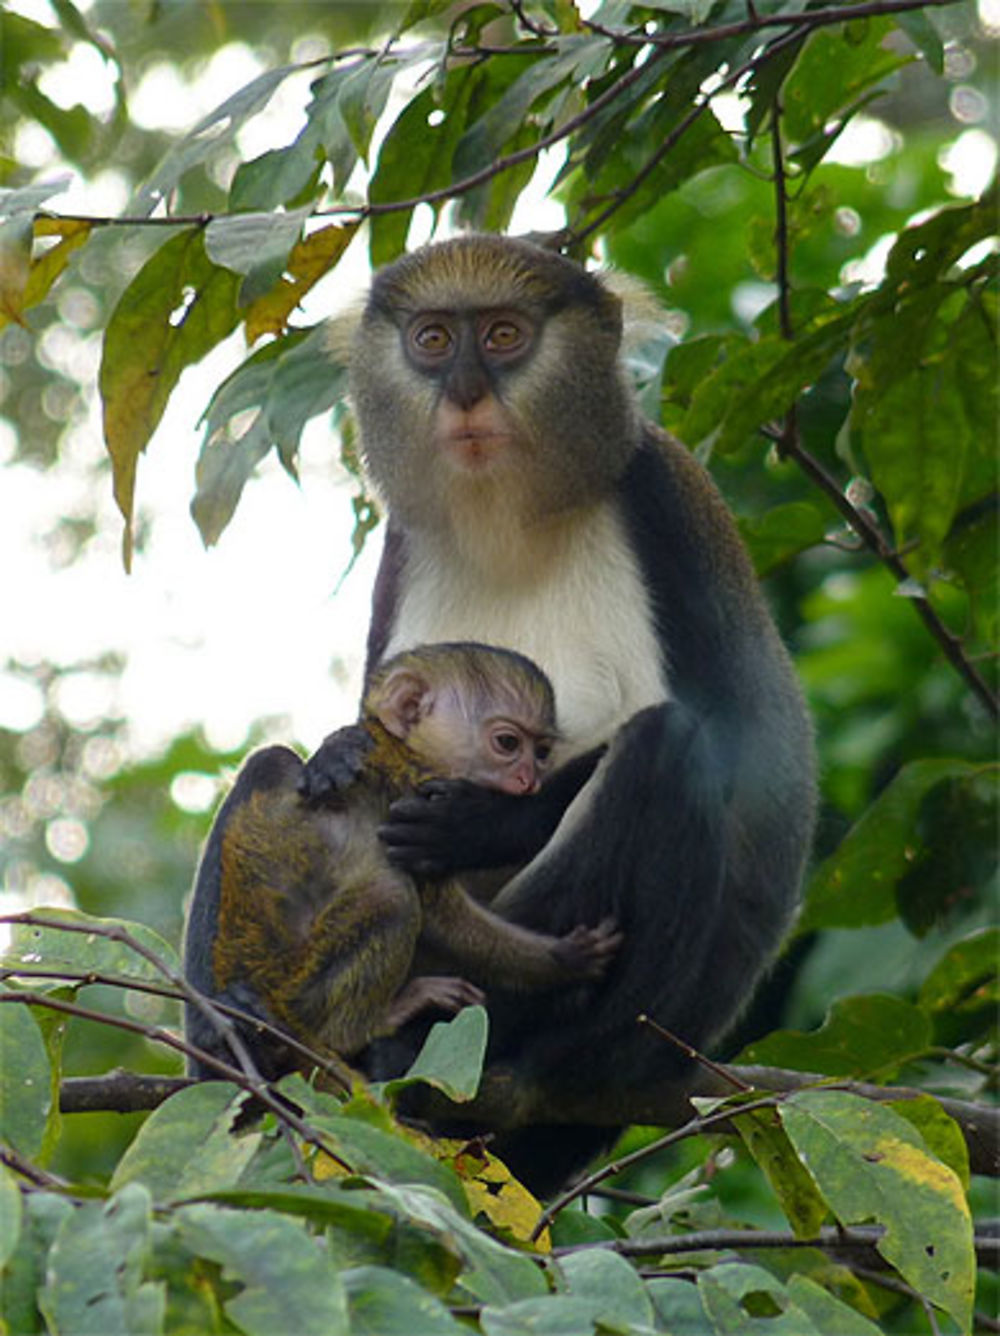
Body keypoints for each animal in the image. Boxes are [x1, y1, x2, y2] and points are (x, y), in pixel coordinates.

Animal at [180, 641, 616, 1079]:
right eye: (508, 744)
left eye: (540, 753)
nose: (529, 780)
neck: (404, 750)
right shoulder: (412, 793)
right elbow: (446, 922)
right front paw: (563, 960)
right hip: (294, 992)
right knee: (389, 896)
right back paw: (358, 1028)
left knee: (269, 762)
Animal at [308, 232, 817, 1191]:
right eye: (434, 340)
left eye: (505, 335)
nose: (467, 390)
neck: (508, 521)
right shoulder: (404, 545)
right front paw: (337, 753)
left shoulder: (661, 498)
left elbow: (738, 741)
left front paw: (471, 822)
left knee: (669, 748)